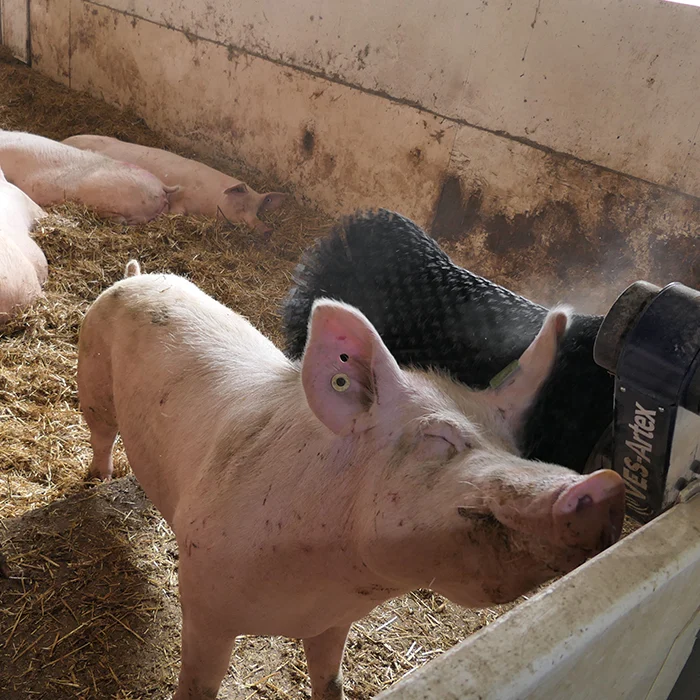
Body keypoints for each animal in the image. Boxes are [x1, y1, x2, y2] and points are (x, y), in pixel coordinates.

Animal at [63, 134, 287, 236]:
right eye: (241, 206)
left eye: (258, 210)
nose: (267, 229)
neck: (211, 199)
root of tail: (65, 139)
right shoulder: (181, 201)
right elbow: (177, 213)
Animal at [78, 261, 624, 700]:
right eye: (438, 438)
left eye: (514, 447)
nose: (606, 485)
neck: (327, 577)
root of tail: (136, 276)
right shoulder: (204, 603)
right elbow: (199, 686)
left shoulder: (334, 620)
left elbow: (330, 681)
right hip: (91, 375)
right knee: (101, 434)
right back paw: (96, 481)